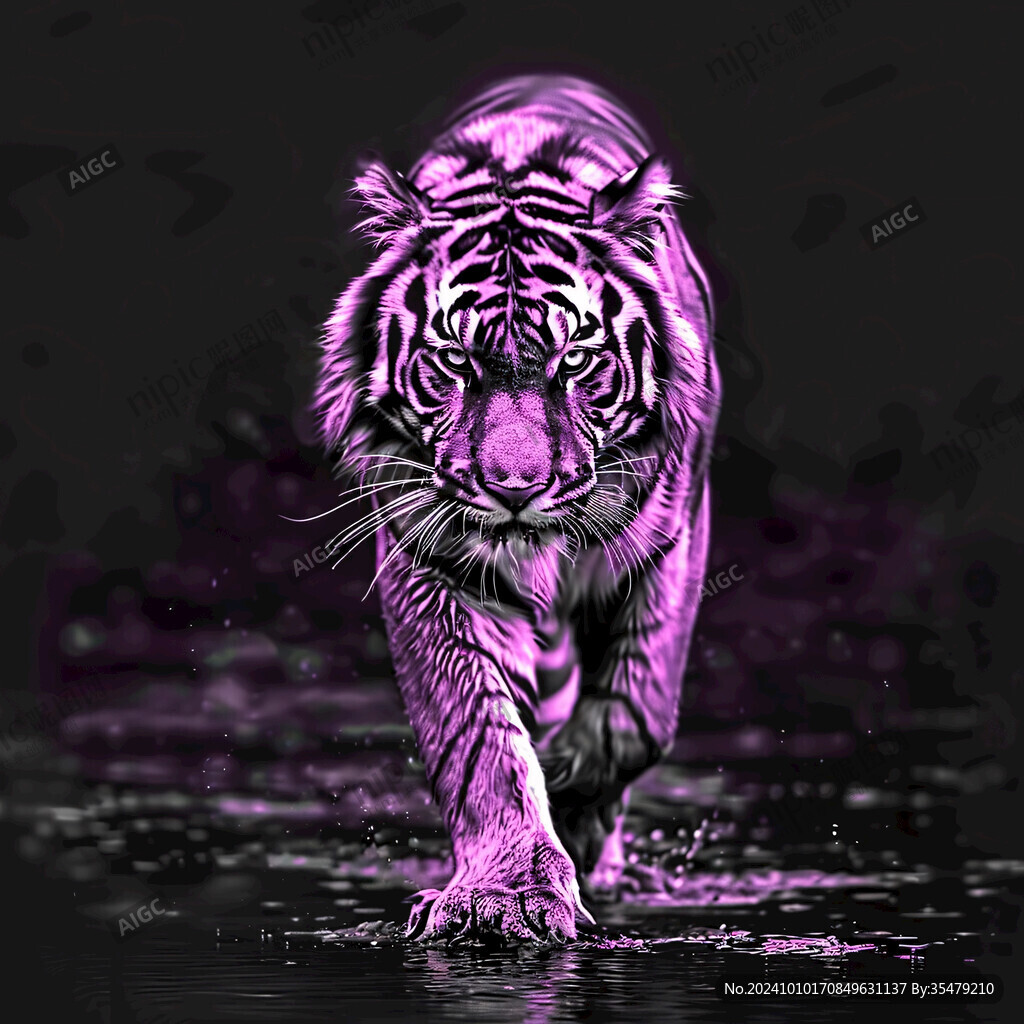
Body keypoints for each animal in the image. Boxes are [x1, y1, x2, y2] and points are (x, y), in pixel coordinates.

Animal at [313, 74, 720, 943]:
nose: (514, 487)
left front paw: (572, 792)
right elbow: (479, 738)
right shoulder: (432, 562)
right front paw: (509, 894)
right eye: (454, 361)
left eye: (576, 359)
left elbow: (639, 710)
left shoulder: (672, 541)